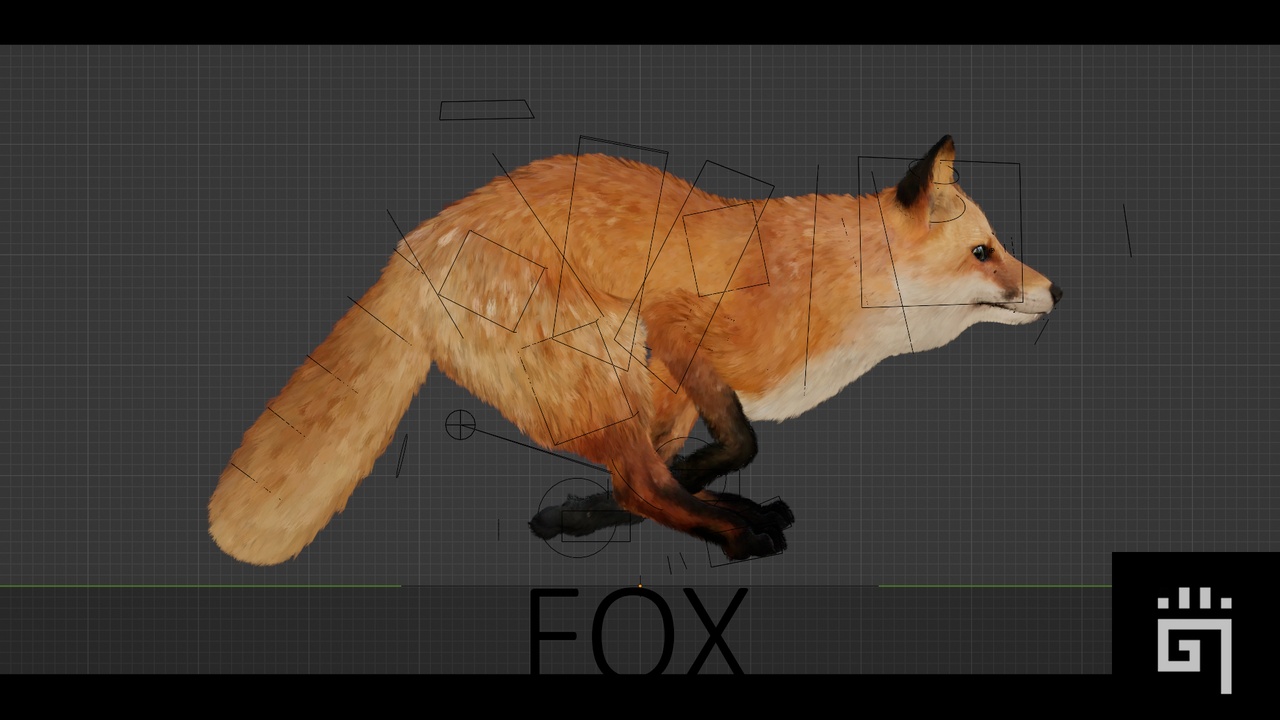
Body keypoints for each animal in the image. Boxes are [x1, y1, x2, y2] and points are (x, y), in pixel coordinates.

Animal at [208, 135, 1061, 565]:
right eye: (984, 252)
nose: (1055, 290)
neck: (819, 283)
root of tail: (417, 242)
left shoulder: (681, 384)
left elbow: (697, 458)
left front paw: (592, 509)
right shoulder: (676, 326)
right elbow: (735, 442)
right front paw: (716, 507)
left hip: (627, 381)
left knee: (637, 480)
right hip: (600, 358)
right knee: (639, 483)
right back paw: (734, 533)